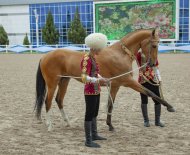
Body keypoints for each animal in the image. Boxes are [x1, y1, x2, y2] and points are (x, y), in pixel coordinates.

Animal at [35, 27, 174, 131]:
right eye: (154, 45)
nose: (153, 64)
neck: (121, 54)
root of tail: (45, 56)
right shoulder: (128, 82)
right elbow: (150, 92)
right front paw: (170, 107)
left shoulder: (115, 85)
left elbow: (110, 104)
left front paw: (110, 125)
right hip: (52, 83)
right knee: (48, 102)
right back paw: (50, 125)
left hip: (64, 81)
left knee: (59, 100)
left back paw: (68, 122)